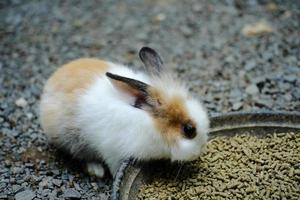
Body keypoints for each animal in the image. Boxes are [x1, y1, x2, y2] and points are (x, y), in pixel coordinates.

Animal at [39, 47, 209, 178]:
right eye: (189, 130)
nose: (199, 151)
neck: (152, 124)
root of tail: (49, 85)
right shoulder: (113, 153)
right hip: (73, 139)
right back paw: (97, 171)